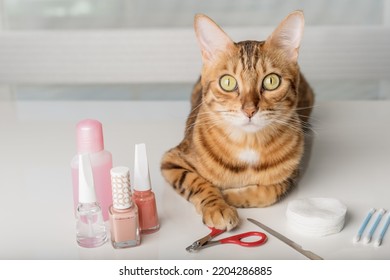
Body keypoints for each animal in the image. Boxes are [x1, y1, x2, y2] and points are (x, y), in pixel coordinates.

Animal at [161, 10, 314, 230]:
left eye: (272, 81)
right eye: (227, 82)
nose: (249, 110)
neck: (248, 144)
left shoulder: (292, 175)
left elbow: (272, 190)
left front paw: (232, 196)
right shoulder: (172, 161)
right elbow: (197, 182)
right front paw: (218, 206)